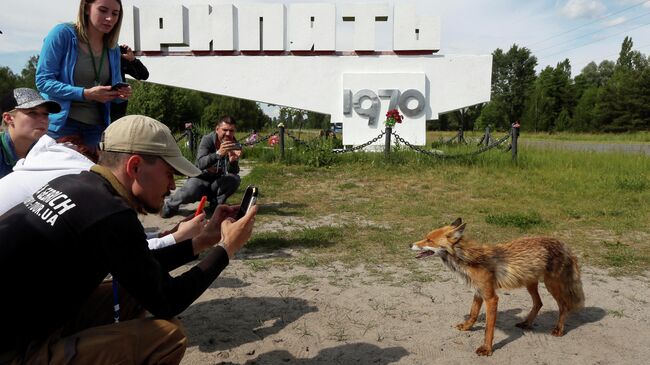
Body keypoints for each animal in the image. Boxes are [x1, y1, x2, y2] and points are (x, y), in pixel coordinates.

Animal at [410, 218, 584, 354]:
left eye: (429, 240)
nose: (410, 244)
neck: (470, 259)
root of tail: (563, 243)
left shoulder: (491, 298)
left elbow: (488, 328)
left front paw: (487, 349)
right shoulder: (479, 291)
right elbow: (473, 313)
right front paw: (467, 327)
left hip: (551, 285)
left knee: (564, 306)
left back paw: (558, 330)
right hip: (530, 283)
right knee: (538, 303)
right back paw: (527, 323)